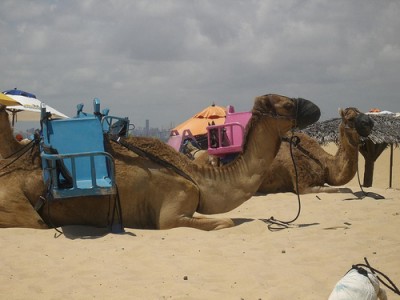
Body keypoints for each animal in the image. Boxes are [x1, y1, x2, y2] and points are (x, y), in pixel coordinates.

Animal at [0, 95, 320, 231]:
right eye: (288, 104)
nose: (316, 109)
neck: (197, 177)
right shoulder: (172, 210)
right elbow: (225, 221)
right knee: (36, 222)